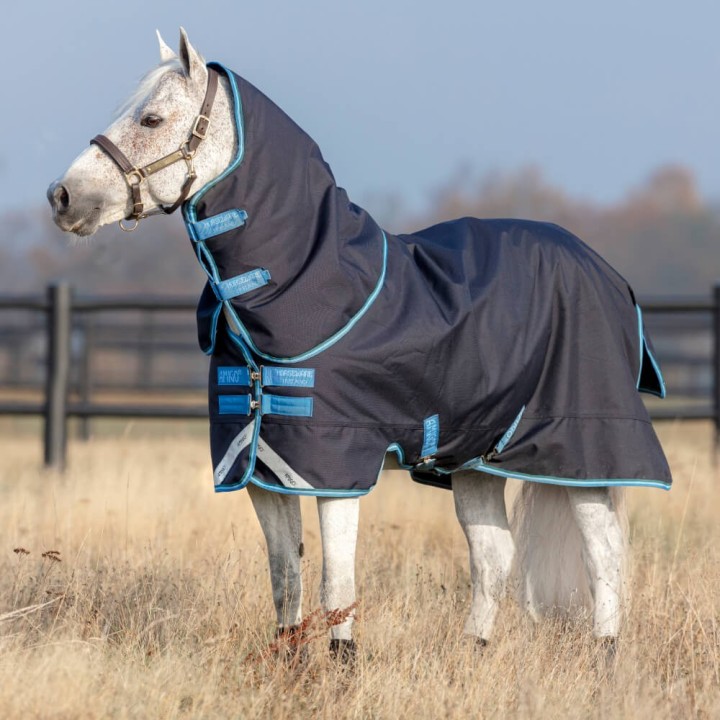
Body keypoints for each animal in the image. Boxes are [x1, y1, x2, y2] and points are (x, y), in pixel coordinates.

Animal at [48, 29, 671, 659]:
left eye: (151, 119)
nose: (63, 196)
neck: (314, 286)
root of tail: (606, 272)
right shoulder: (261, 469)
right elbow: (284, 576)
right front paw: (290, 662)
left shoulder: (334, 467)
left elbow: (336, 584)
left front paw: (343, 665)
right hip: (476, 459)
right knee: (493, 556)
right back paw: (474, 651)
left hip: (587, 452)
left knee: (604, 555)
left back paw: (605, 657)